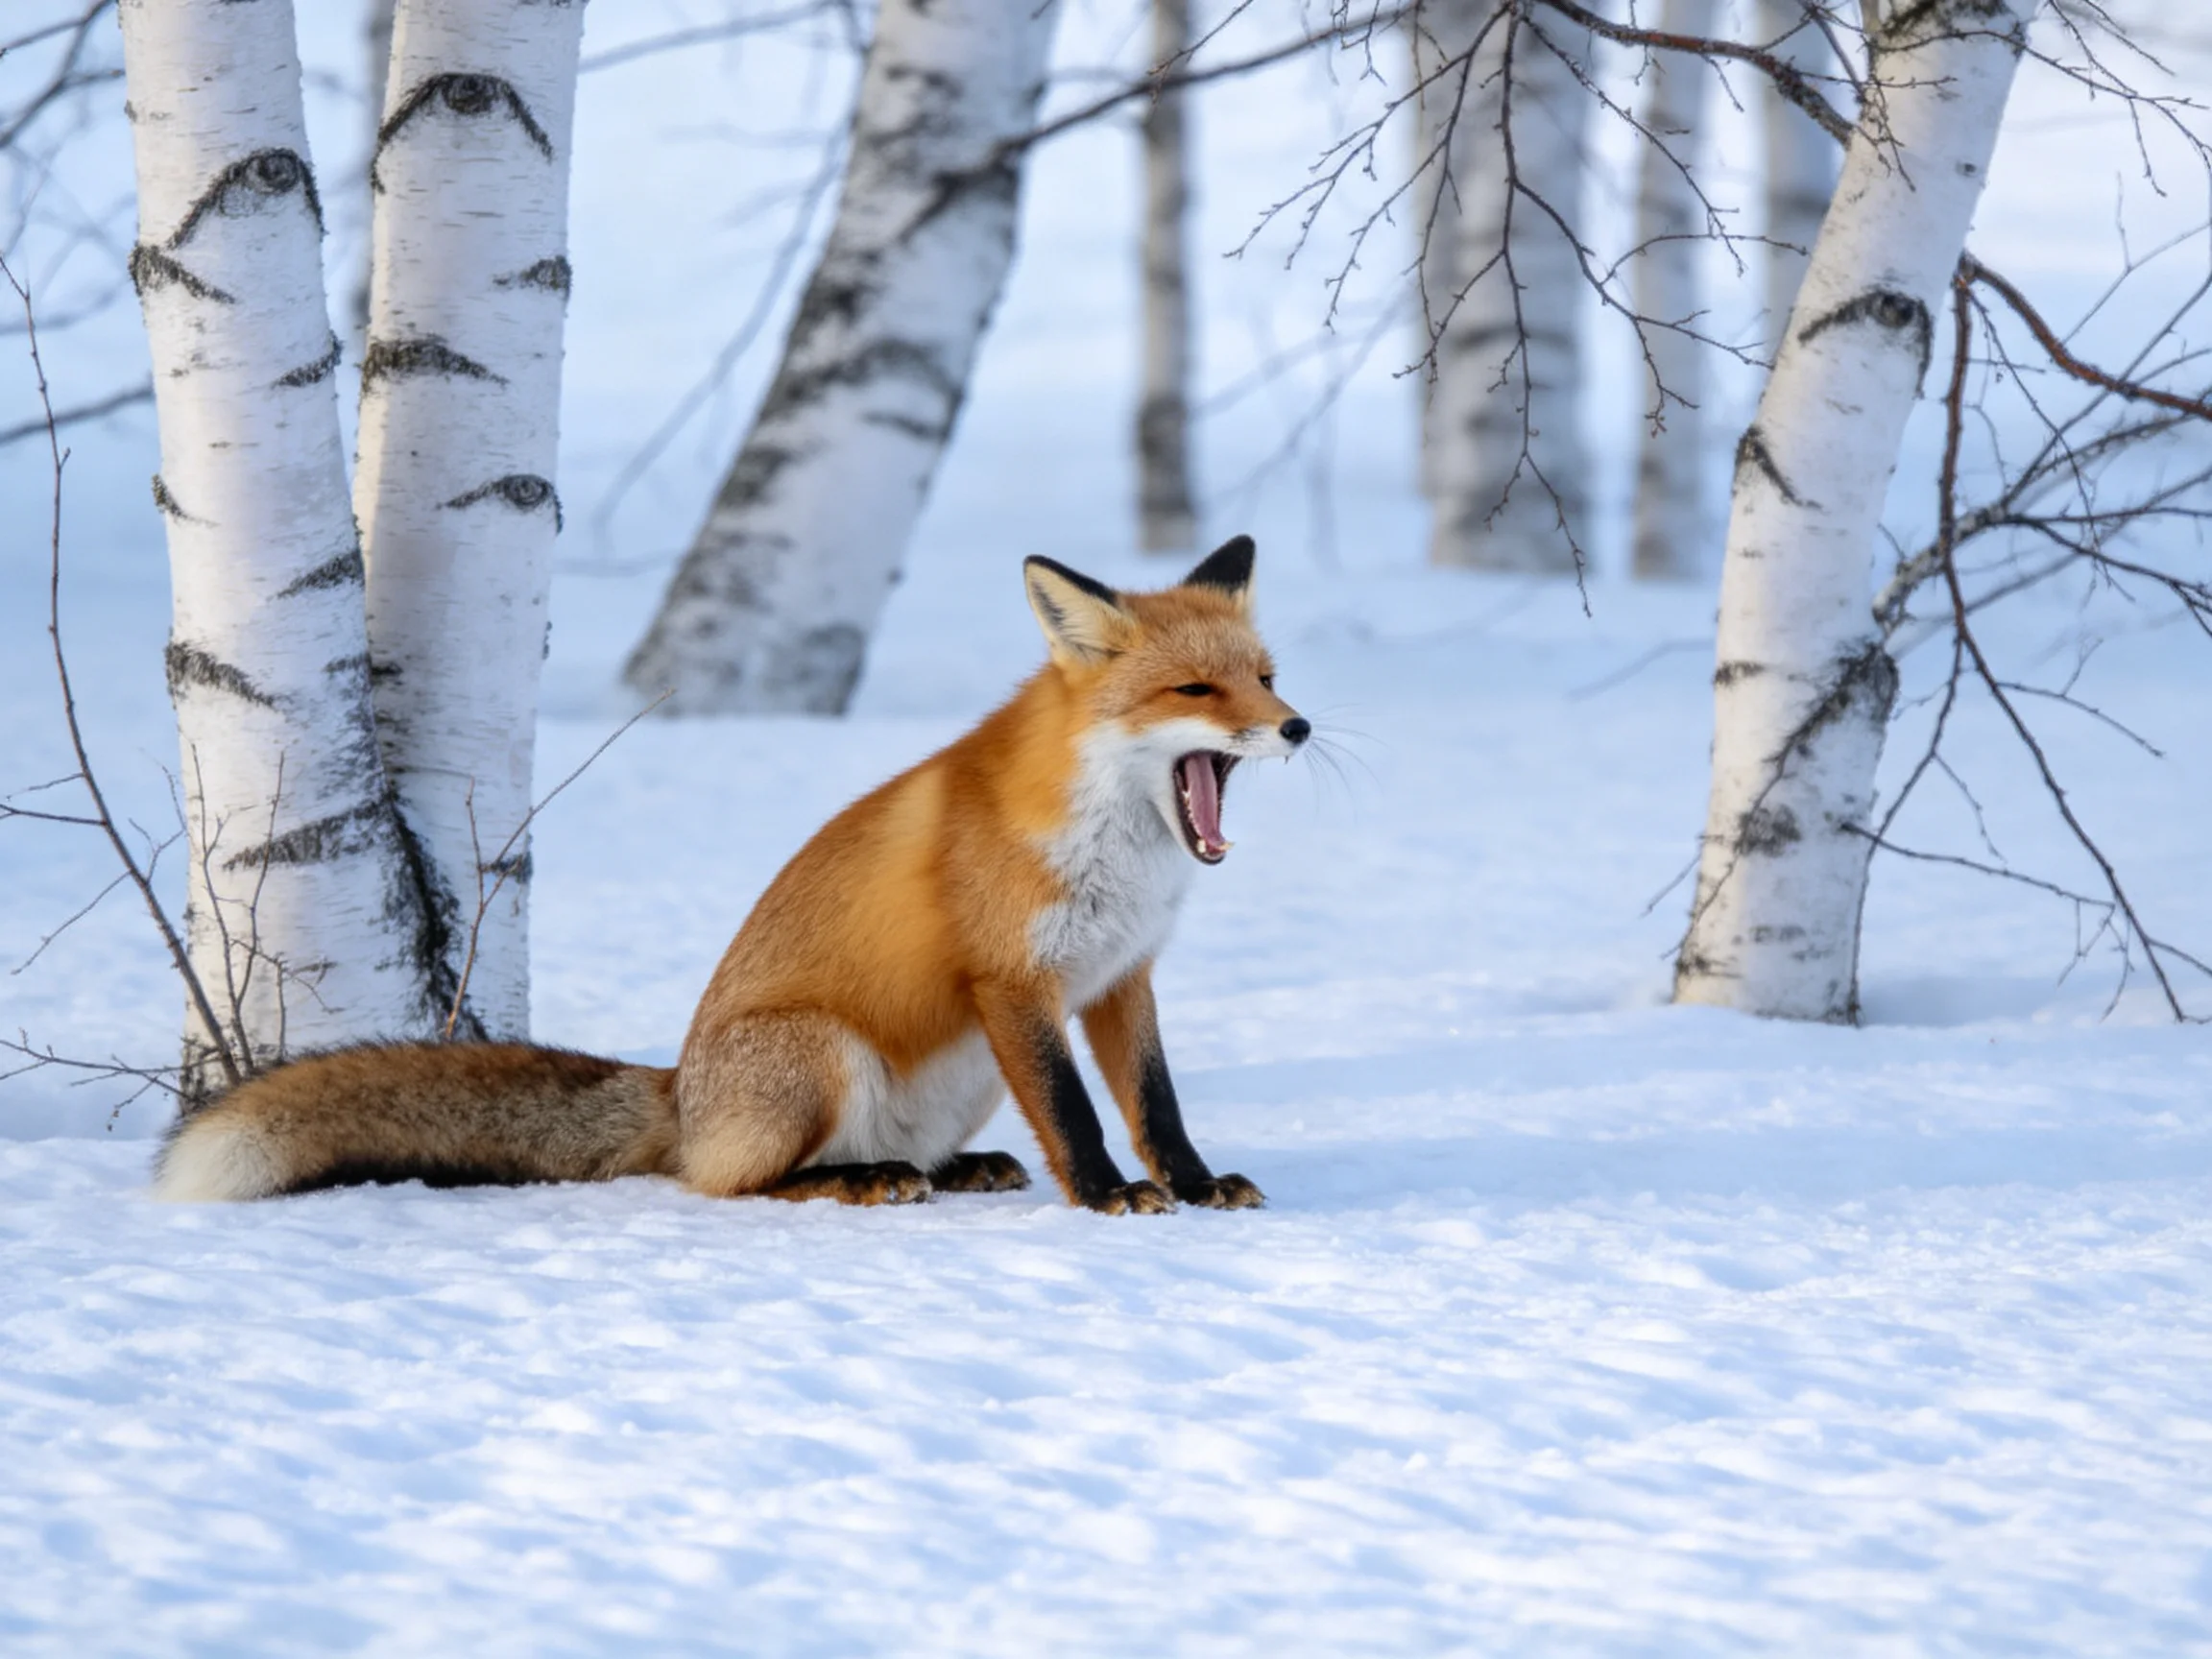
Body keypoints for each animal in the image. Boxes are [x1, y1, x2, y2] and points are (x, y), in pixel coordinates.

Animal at [154, 536, 1308, 1214]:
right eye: (1194, 690)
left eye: (1265, 676)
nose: (1297, 728)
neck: (1117, 853)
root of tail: (677, 1091)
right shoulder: (1014, 981)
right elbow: (1077, 1114)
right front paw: (1110, 1198)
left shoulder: (1119, 977)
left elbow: (1156, 1104)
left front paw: (1196, 1185)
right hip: (824, 1051)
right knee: (731, 1184)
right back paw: (857, 1180)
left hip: (969, 1069)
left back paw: (948, 1169)